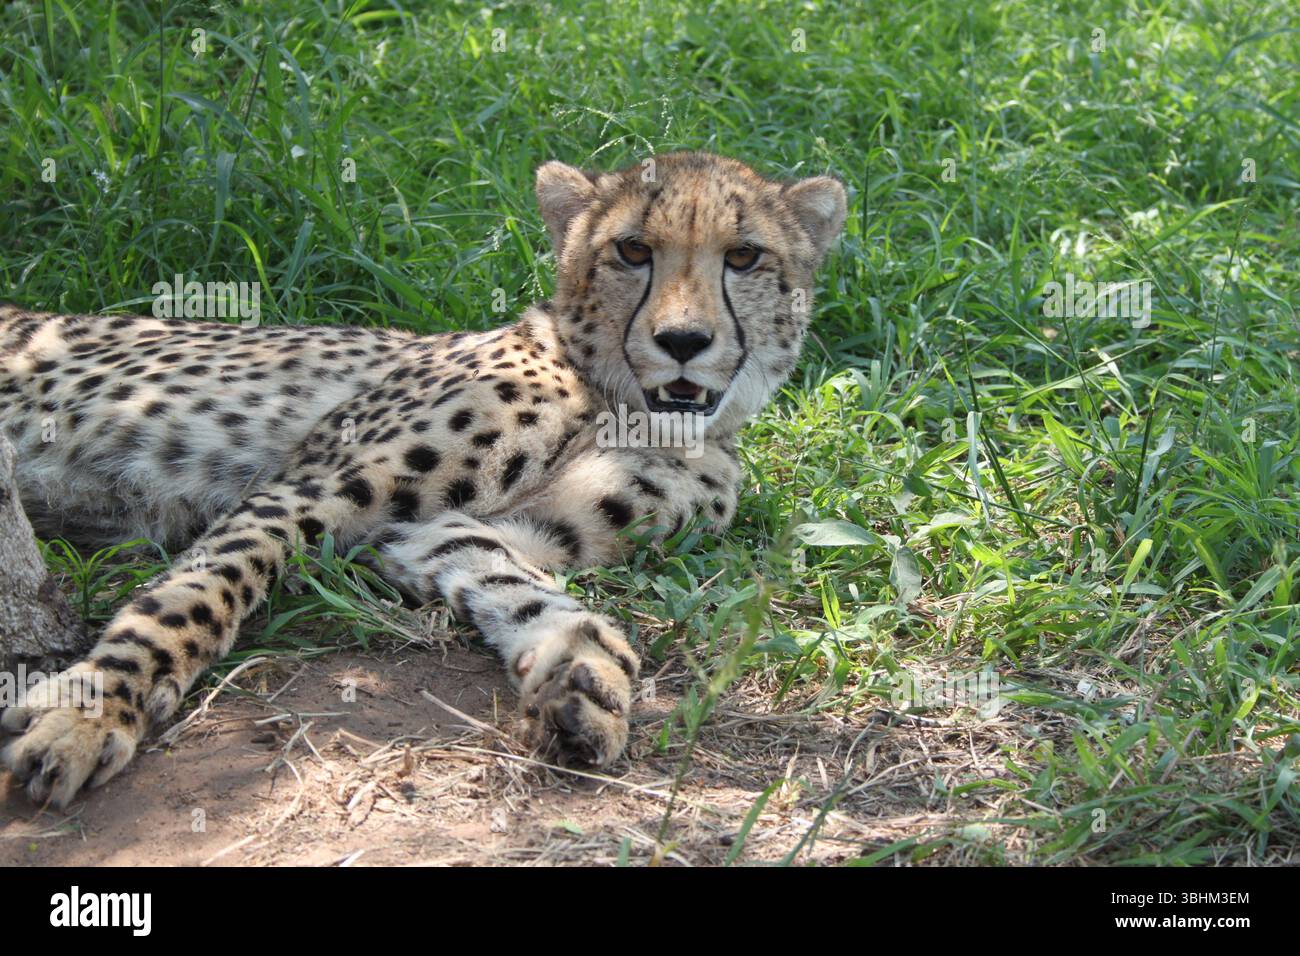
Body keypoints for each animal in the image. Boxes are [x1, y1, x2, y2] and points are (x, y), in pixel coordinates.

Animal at [0, 151, 846, 808]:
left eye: (744, 258)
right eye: (633, 251)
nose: (683, 341)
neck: (619, 406)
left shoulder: (432, 530)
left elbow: (509, 579)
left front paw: (581, 669)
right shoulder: (305, 489)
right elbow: (194, 597)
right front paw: (92, 712)